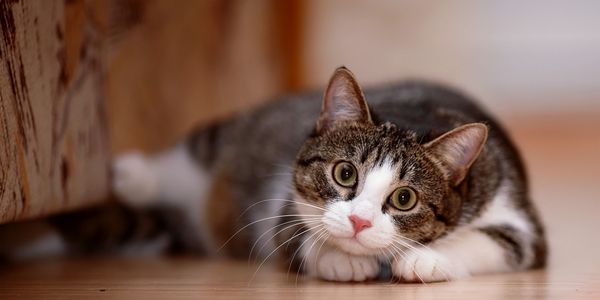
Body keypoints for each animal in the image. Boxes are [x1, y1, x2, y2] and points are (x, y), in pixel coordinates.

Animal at [0, 67, 548, 282]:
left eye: (405, 199)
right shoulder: (285, 200)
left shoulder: (520, 215)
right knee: (191, 152)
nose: (359, 222)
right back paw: (131, 174)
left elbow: (498, 241)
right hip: (223, 139)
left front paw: (425, 259)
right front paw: (339, 259)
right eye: (344, 173)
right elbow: (295, 232)